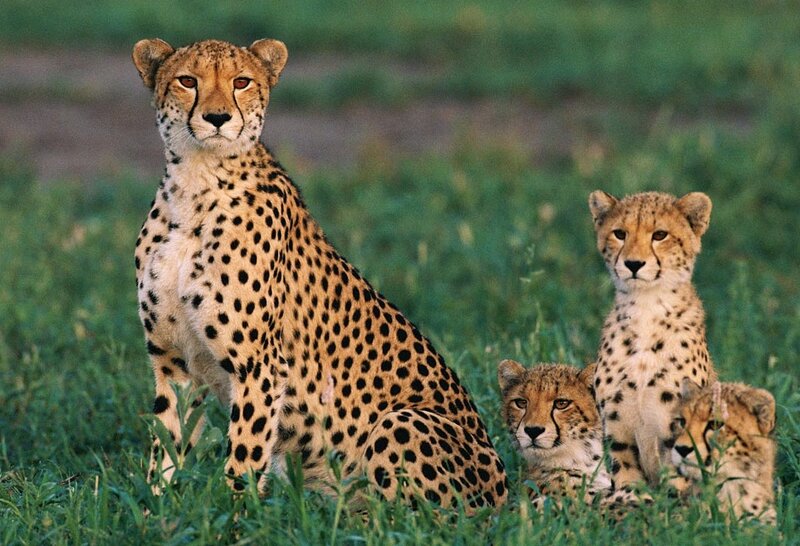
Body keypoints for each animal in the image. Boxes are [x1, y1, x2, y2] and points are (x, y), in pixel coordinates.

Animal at [130, 37, 508, 512]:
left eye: (241, 82)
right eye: (187, 80)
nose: (217, 118)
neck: (197, 182)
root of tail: (505, 494)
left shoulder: (260, 366)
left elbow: (244, 453)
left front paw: (234, 513)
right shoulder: (173, 360)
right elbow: (167, 441)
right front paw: (157, 507)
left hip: (401, 421)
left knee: (417, 517)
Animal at [588, 190, 717, 490]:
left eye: (660, 235)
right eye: (620, 233)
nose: (633, 264)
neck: (646, 308)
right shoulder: (617, 430)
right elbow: (626, 479)